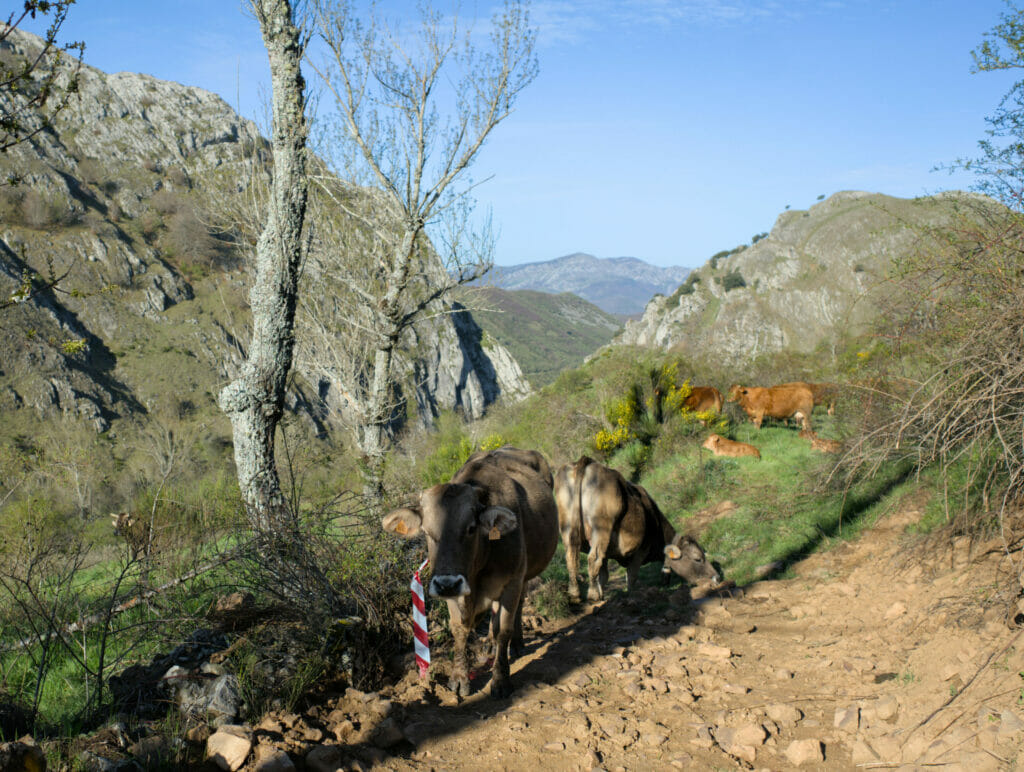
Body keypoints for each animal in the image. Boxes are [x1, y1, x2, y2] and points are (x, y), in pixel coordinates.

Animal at [385, 444, 561, 696]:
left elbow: (504, 629)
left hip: (524, 574)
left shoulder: (512, 581)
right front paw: (459, 678)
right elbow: (459, 628)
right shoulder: (455, 589)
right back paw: (489, 644)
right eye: (426, 531)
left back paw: (516, 643)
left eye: (470, 528)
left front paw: (500, 679)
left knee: (518, 605)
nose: (447, 584)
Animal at [552, 456, 720, 602]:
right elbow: (631, 576)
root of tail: (585, 462)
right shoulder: (641, 550)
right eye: (698, 559)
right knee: (593, 558)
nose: (717, 577)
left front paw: (602, 593)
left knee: (571, 557)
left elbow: (604, 575)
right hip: (600, 529)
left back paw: (575, 594)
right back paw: (592, 595)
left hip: (567, 527)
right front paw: (631, 595)